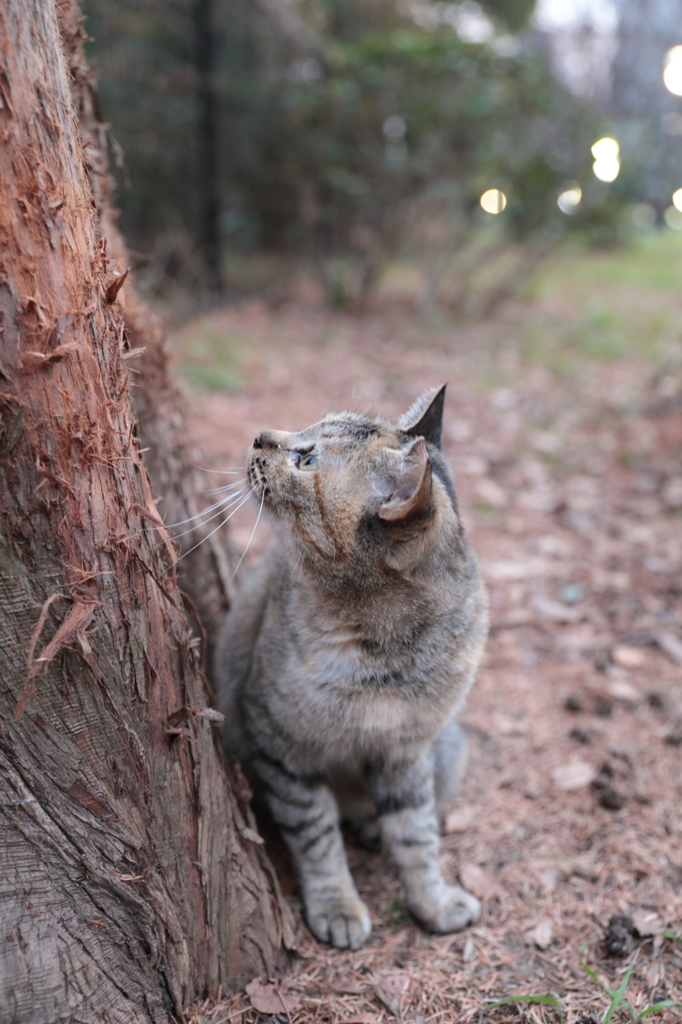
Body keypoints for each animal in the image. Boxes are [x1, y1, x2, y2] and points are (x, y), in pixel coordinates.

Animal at [215, 385, 485, 950]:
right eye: (307, 429)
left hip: (449, 748)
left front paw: (432, 902)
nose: (259, 436)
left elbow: (418, 835)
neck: (382, 650)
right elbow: (317, 836)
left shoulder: (406, 752)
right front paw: (337, 906)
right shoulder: (284, 749)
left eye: (307, 460)